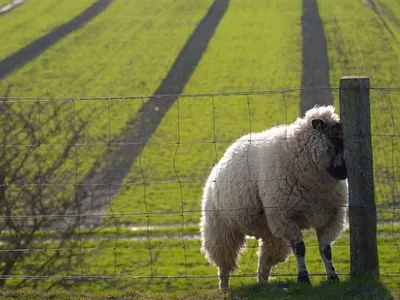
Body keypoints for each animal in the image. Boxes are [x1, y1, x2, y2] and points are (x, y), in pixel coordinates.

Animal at [199, 104, 346, 292]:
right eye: (335, 138)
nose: (344, 172)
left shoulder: (331, 217)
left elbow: (326, 250)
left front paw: (333, 277)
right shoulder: (286, 217)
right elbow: (300, 249)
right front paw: (303, 278)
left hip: (270, 231)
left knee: (265, 260)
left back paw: (263, 283)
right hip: (221, 228)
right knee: (224, 261)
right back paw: (224, 287)